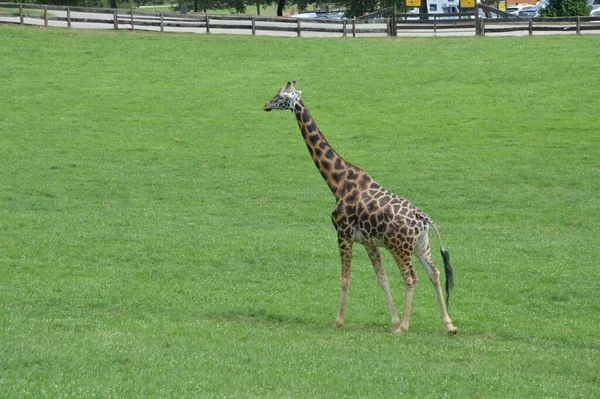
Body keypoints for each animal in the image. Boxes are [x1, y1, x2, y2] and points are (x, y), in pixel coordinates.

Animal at [264, 80, 458, 334]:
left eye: (280, 96)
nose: (266, 104)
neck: (337, 182)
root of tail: (424, 218)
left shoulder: (343, 234)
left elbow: (345, 278)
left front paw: (339, 321)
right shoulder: (368, 241)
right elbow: (382, 279)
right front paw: (393, 321)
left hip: (400, 247)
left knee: (411, 278)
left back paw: (405, 326)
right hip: (421, 246)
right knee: (434, 273)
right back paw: (449, 324)